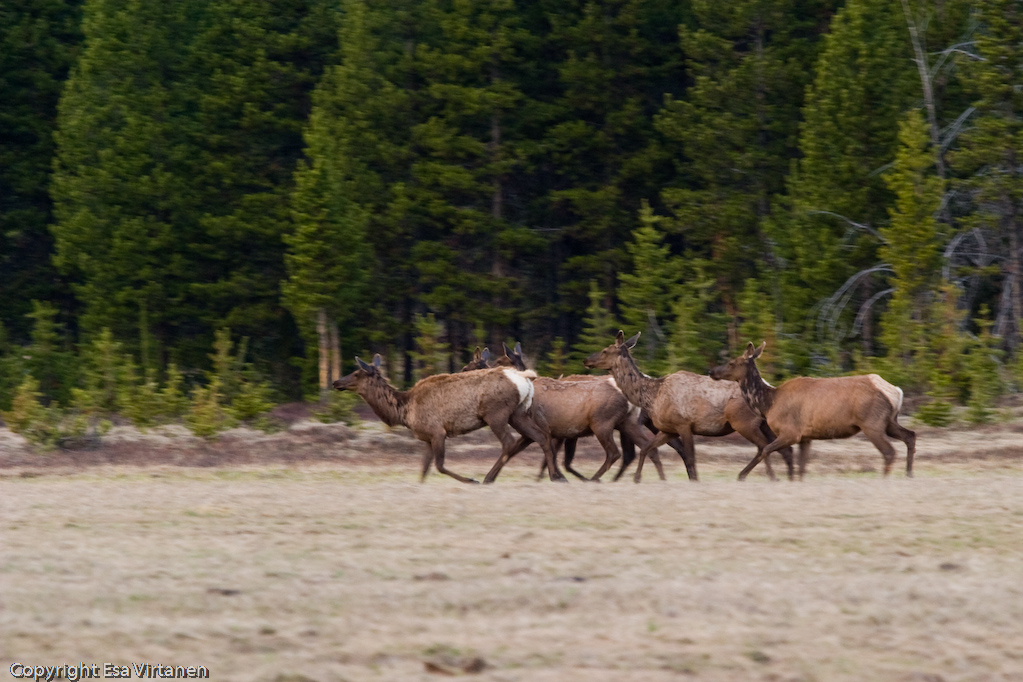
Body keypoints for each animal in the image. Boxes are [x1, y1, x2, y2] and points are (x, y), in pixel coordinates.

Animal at [333, 354, 567, 483]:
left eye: (356, 373)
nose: (336, 382)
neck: (405, 411)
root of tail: (524, 378)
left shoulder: (438, 432)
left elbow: (439, 465)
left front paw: (470, 480)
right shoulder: (427, 438)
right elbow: (424, 469)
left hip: (496, 413)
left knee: (510, 443)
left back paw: (487, 478)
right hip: (517, 413)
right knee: (541, 436)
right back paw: (557, 476)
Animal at [585, 331, 794, 482]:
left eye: (605, 350)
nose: (587, 360)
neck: (652, 396)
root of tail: (770, 390)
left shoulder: (684, 424)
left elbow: (691, 457)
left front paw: (694, 481)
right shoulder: (668, 429)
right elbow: (647, 449)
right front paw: (637, 478)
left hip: (744, 422)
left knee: (764, 447)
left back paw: (768, 477)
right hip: (765, 424)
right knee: (782, 449)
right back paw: (787, 478)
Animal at [709, 341, 916, 479]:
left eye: (732, 362)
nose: (712, 371)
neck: (768, 404)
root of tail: (896, 391)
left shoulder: (790, 432)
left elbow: (765, 450)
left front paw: (772, 477)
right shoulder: (806, 437)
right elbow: (802, 466)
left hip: (872, 423)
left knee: (889, 452)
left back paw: (886, 479)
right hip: (890, 421)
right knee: (910, 436)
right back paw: (909, 474)